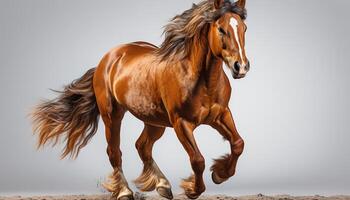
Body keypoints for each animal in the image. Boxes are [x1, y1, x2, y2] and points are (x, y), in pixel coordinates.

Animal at [30, 0, 249, 199]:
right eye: (221, 29)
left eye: (244, 28)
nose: (241, 67)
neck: (201, 80)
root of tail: (107, 59)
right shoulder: (182, 123)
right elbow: (197, 159)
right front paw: (193, 189)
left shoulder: (221, 115)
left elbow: (238, 143)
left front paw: (220, 174)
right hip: (112, 116)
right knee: (114, 151)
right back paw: (125, 191)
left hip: (154, 121)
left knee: (142, 146)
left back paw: (162, 185)